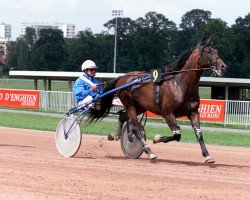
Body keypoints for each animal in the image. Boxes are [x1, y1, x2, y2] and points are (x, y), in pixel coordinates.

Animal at [89, 38, 228, 163]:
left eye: (217, 51)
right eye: (208, 52)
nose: (223, 66)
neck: (181, 85)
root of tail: (121, 77)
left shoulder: (193, 113)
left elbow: (199, 134)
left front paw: (207, 156)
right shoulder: (167, 113)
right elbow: (177, 134)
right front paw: (157, 138)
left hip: (140, 107)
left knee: (123, 117)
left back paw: (116, 135)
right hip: (130, 105)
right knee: (136, 129)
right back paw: (149, 152)